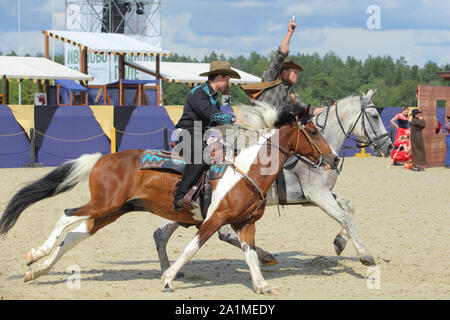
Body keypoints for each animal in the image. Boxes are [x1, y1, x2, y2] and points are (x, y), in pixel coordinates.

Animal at [0, 101, 338, 294]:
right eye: (313, 132)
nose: (334, 158)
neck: (246, 170)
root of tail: (101, 158)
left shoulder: (245, 224)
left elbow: (251, 255)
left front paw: (262, 285)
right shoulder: (214, 219)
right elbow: (190, 249)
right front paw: (168, 279)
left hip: (110, 212)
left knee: (74, 236)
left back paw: (37, 271)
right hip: (104, 204)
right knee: (67, 215)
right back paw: (36, 254)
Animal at [153, 90, 392, 272]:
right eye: (374, 116)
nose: (389, 146)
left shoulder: (313, 197)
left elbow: (349, 208)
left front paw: (339, 243)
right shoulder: (317, 194)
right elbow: (344, 218)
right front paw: (365, 255)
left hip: (192, 206)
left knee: (161, 233)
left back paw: (168, 270)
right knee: (223, 233)